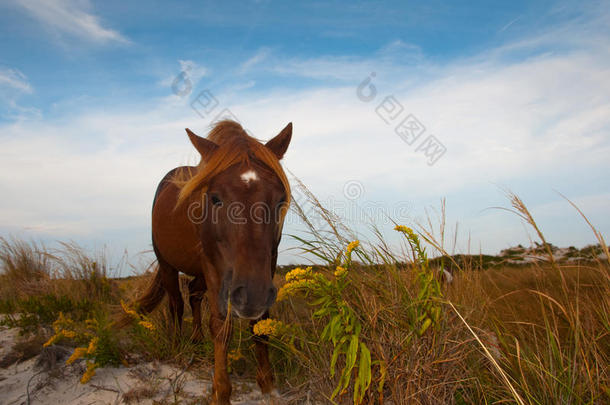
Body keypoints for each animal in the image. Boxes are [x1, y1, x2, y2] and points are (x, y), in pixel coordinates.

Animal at [132, 119, 290, 400]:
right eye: (215, 198)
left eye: (280, 199)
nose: (252, 295)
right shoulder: (213, 266)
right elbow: (221, 327)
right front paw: (221, 391)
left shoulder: (268, 265)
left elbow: (260, 323)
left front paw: (267, 384)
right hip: (168, 265)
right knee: (176, 303)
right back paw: (177, 346)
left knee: (194, 294)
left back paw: (196, 341)